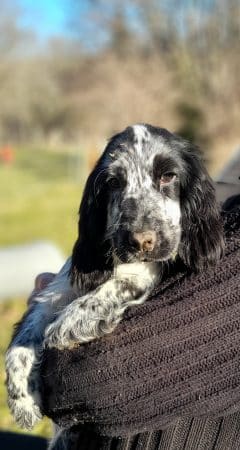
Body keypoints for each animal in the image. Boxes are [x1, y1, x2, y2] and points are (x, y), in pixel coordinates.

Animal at [5, 125, 223, 434]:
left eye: (168, 176)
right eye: (114, 182)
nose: (141, 241)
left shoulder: (150, 268)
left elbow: (125, 281)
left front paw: (70, 322)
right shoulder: (60, 286)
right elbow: (24, 335)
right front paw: (22, 400)